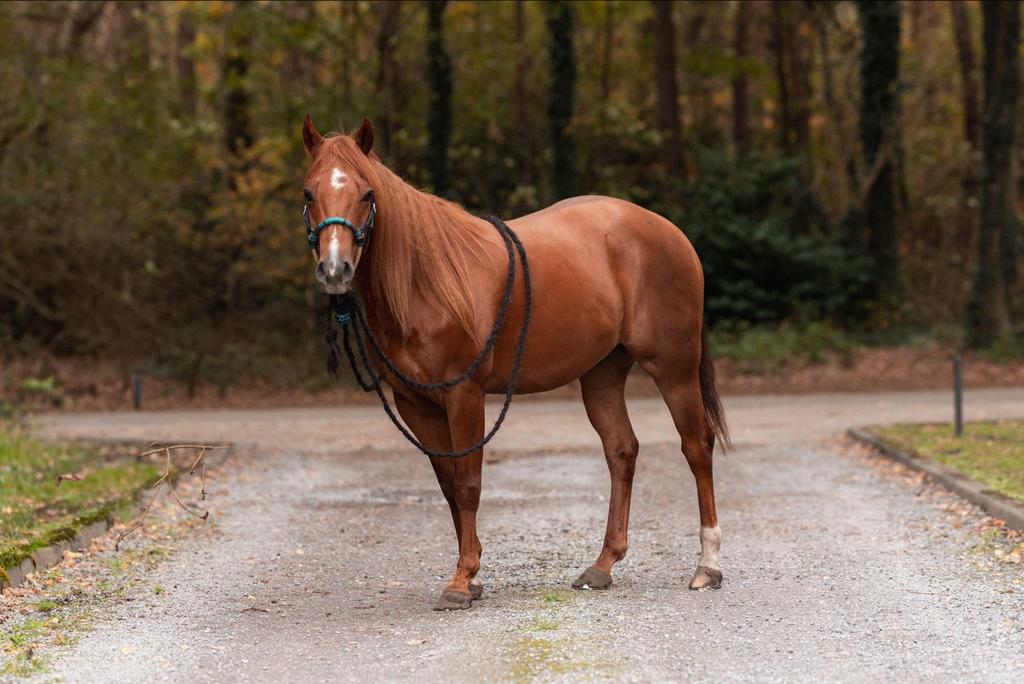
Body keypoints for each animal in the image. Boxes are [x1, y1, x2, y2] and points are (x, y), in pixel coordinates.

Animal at [301, 116, 729, 611]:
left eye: (367, 193)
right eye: (308, 193)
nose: (335, 270)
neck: (426, 282)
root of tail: (670, 231)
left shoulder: (464, 395)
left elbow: (468, 485)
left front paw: (462, 580)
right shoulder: (416, 403)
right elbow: (448, 485)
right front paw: (470, 575)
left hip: (673, 368)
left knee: (696, 446)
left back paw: (708, 565)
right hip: (601, 375)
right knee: (622, 451)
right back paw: (603, 565)